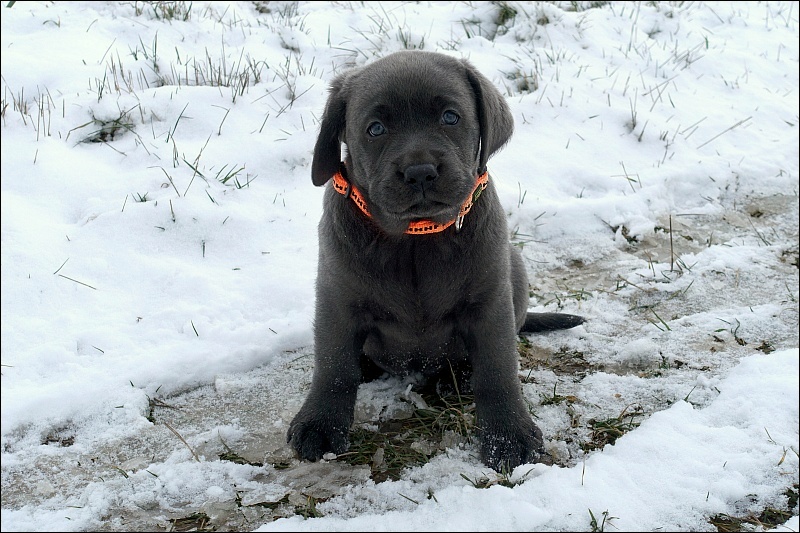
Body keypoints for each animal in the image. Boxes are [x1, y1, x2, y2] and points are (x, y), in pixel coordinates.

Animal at [288, 50, 580, 470]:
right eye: (375, 129)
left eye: (450, 117)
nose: (420, 172)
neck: (415, 239)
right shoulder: (337, 300)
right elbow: (334, 367)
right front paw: (320, 425)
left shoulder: (490, 303)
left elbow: (498, 371)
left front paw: (508, 436)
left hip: (516, 271)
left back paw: (457, 378)